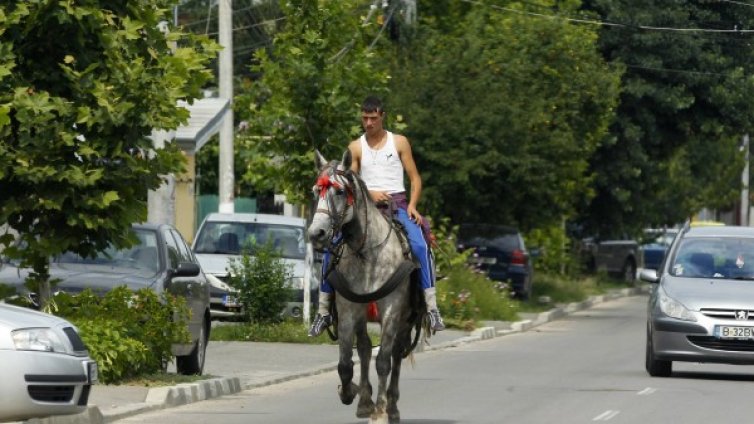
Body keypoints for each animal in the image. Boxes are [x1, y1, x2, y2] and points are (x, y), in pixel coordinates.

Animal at [306, 151, 424, 422]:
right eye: (315, 191)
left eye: (340, 191)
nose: (316, 234)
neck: (366, 251)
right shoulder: (349, 310)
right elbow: (345, 362)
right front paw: (351, 392)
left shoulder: (391, 310)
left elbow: (384, 361)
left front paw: (380, 411)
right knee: (364, 349)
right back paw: (364, 401)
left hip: (405, 319)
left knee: (395, 353)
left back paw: (391, 406)